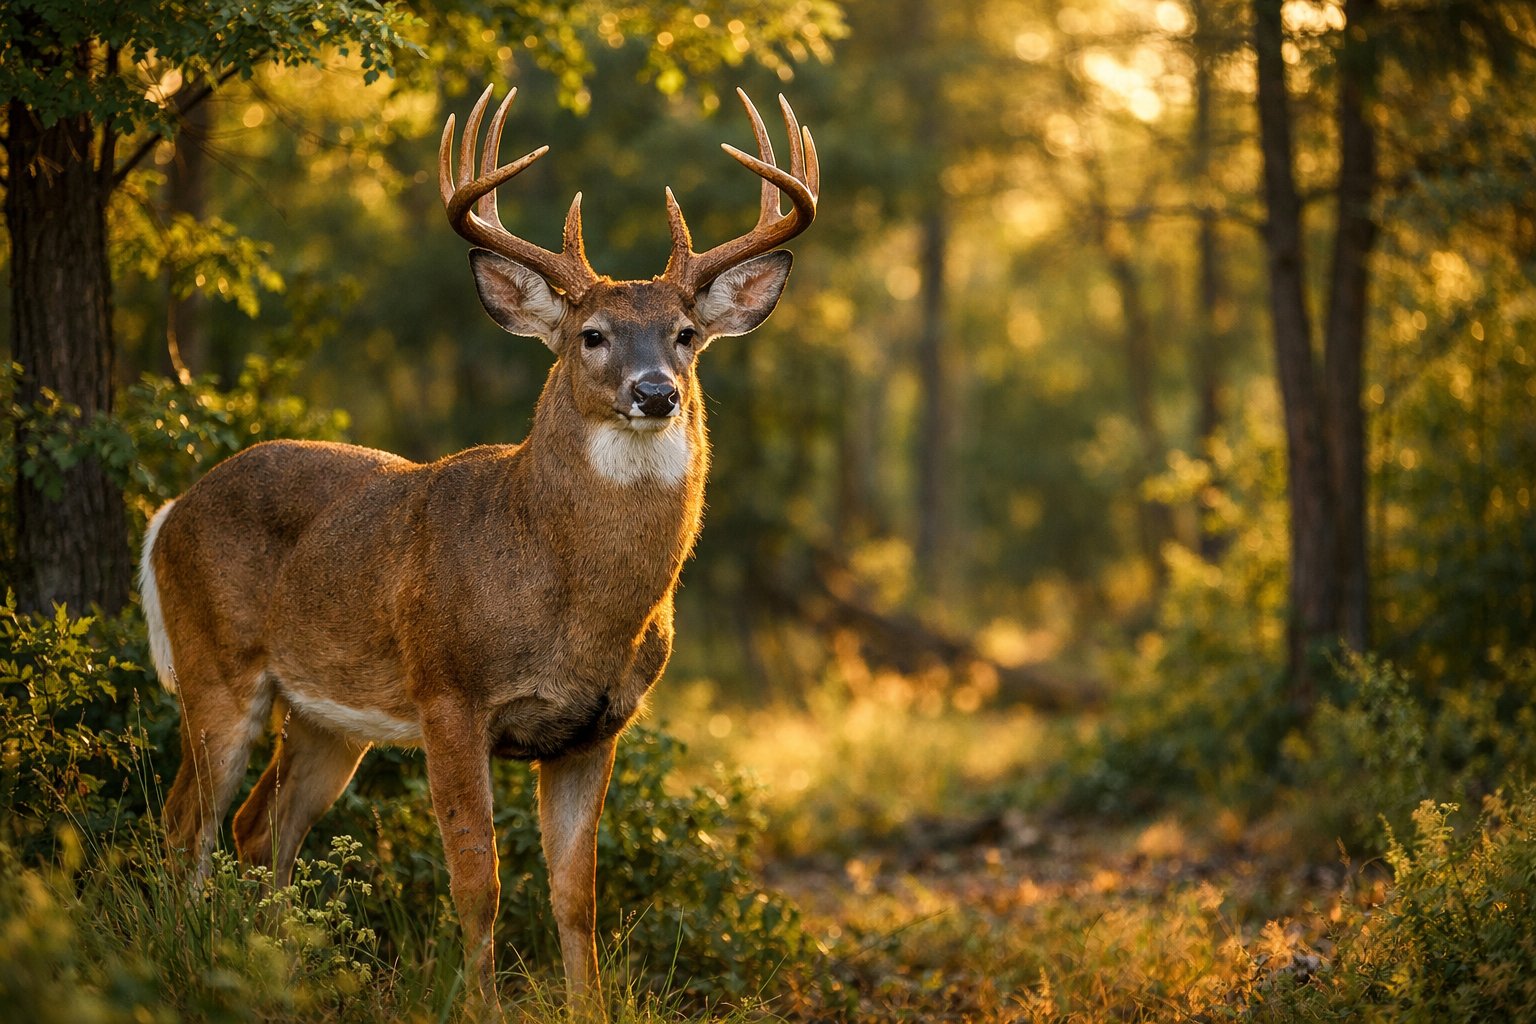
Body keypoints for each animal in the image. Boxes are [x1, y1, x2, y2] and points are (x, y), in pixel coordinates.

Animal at [138, 84, 818, 1018]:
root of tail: (170, 510)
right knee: (184, 824)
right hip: (216, 666)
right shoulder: (449, 693)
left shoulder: (596, 726)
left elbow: (576, 893)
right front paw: (480, 1005)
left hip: (324, 716)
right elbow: (479, 883)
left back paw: (270, 968)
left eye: (684, 332)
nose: (655, 392)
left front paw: (588, 1007)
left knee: (257, 830)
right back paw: (184, 957)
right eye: (592, 334)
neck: (568, 593)